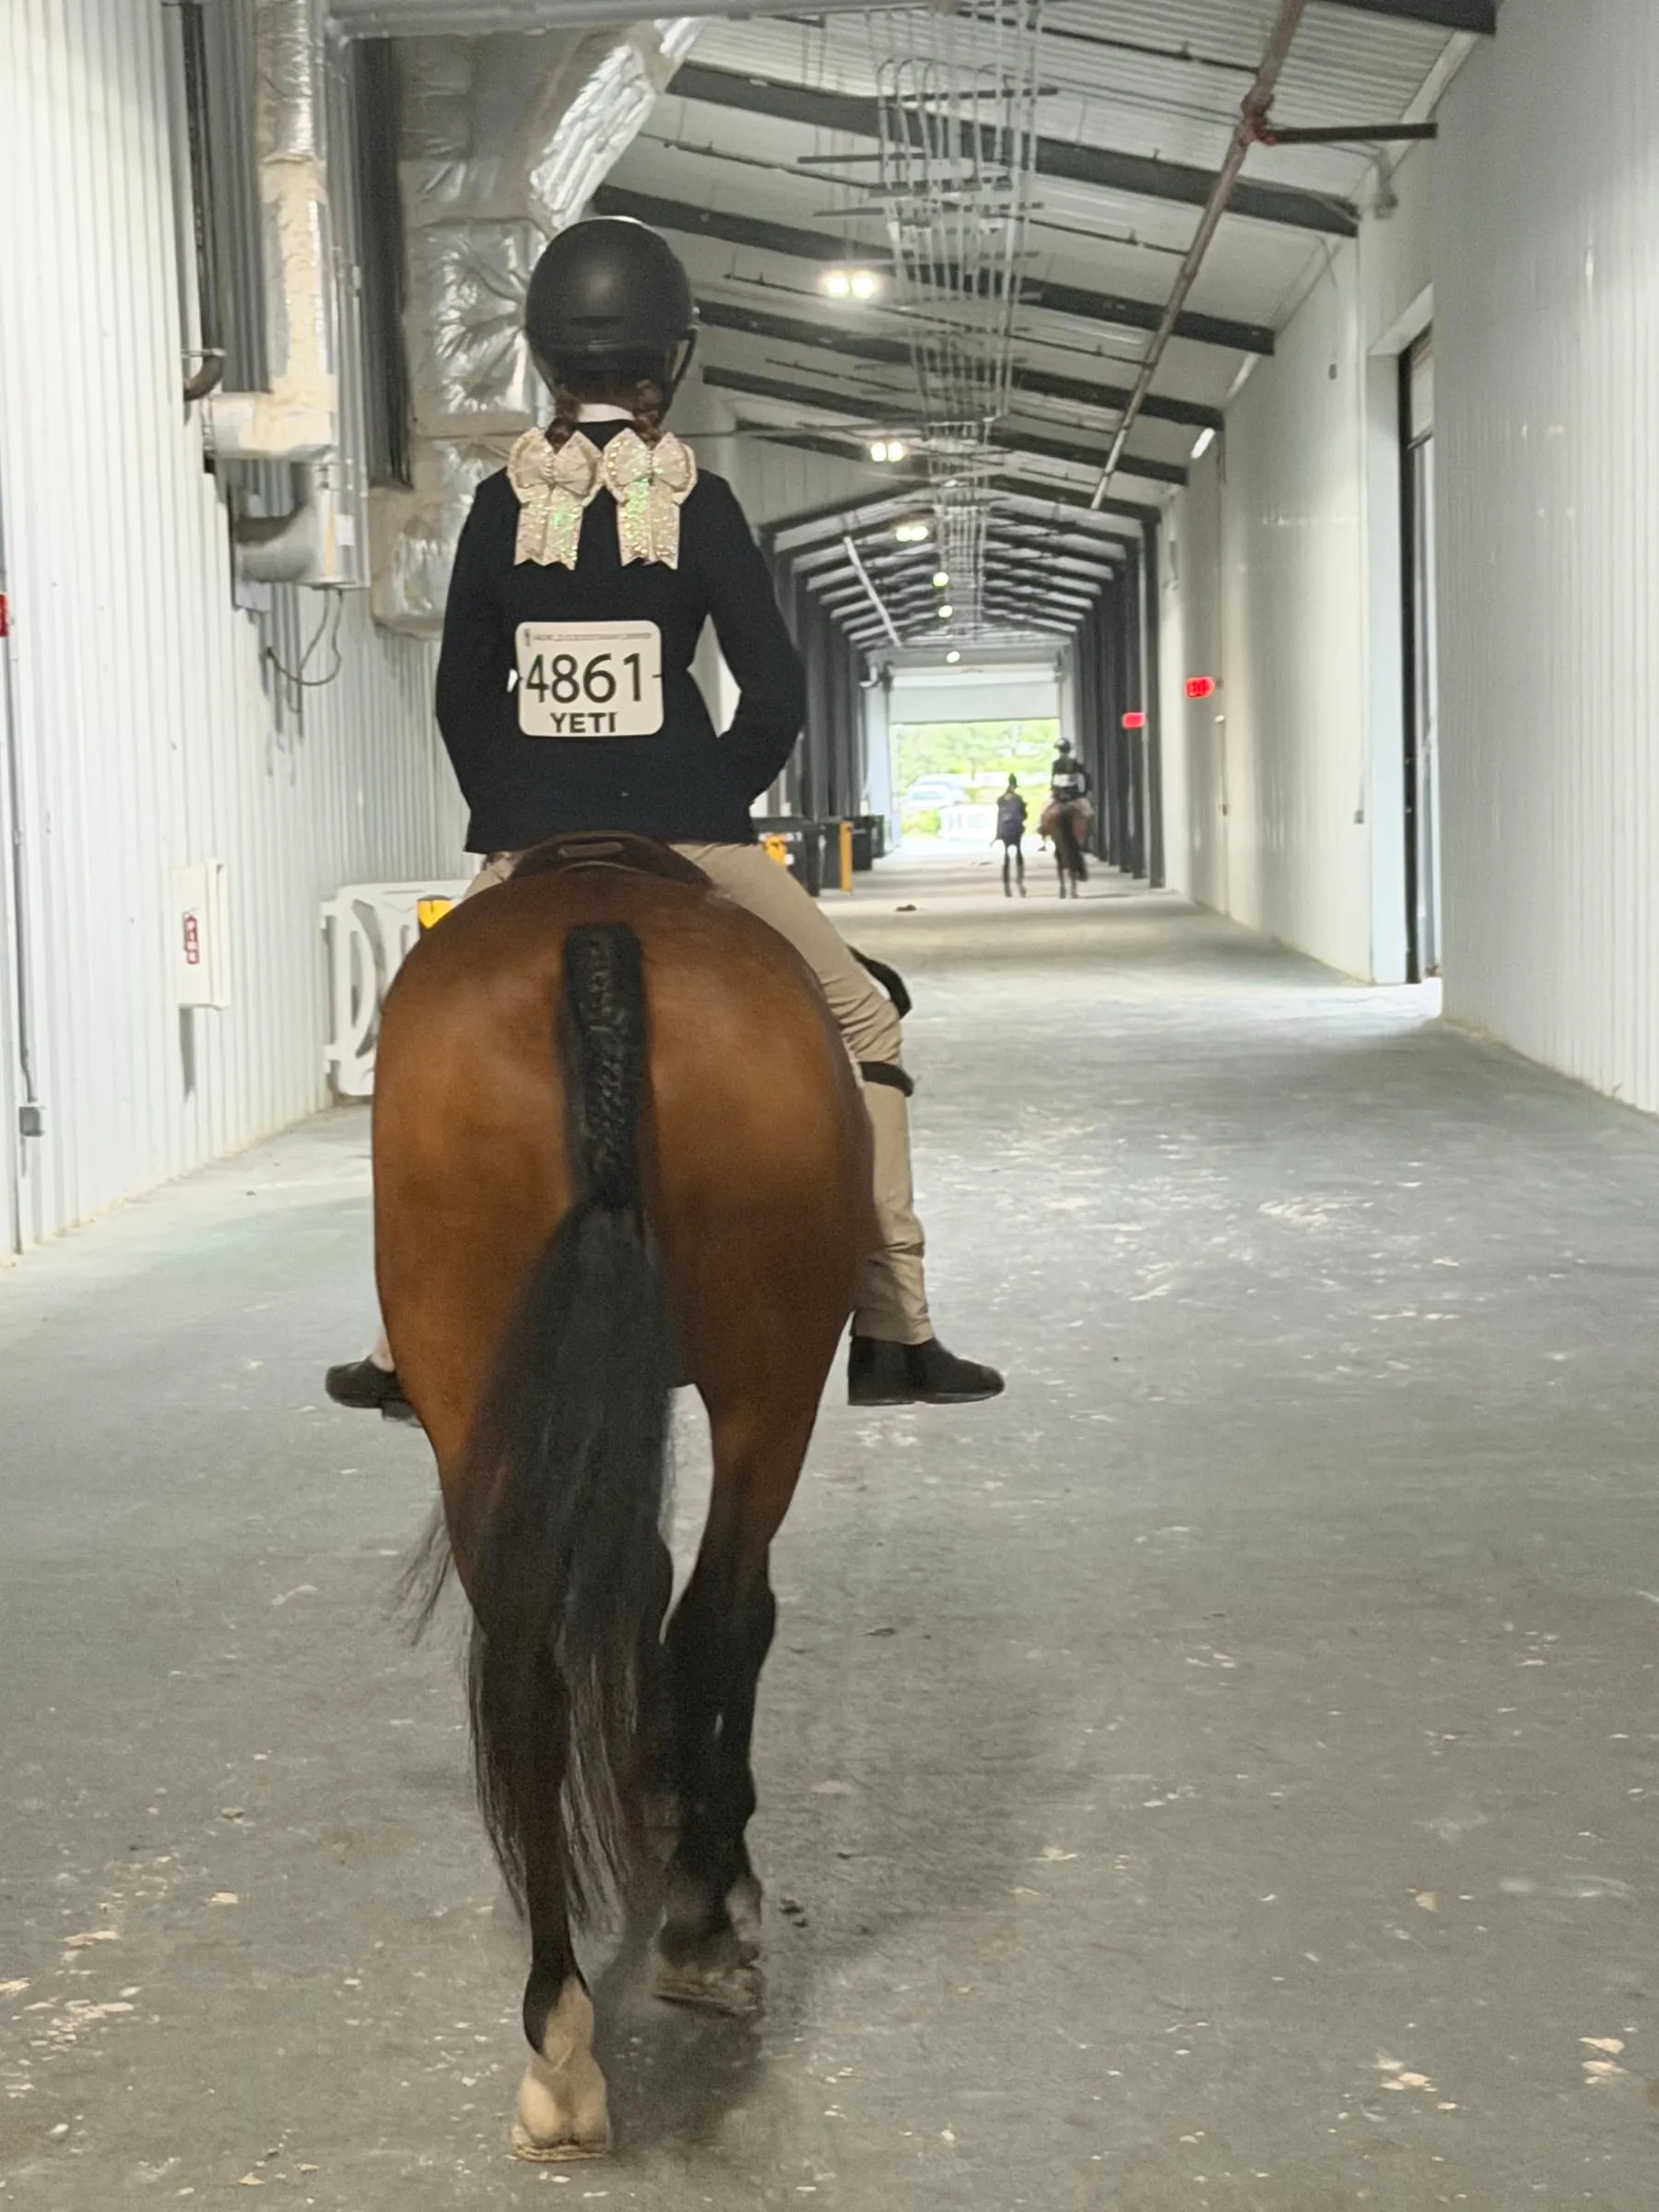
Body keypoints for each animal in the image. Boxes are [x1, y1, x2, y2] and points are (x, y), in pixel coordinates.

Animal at [377, 838, 871, 2159]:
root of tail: (600, 940)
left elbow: (628, 1575)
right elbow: (717, 1611)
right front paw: (705, 1851)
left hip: (468, 1389)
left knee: (529, 1671)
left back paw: (558, 2041)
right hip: (772, 1391)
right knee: (719, 1619)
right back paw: (696, 1923)